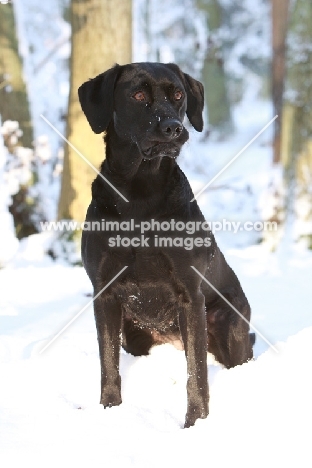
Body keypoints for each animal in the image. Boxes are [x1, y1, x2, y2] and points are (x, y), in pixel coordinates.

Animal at [78, 62, 254, 428]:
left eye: (178, 95)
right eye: (137, 95)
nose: (174, 128)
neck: (140, 193)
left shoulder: (191, 295)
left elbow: (196, 374)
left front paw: (195, 423)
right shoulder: (105, 291)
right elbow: (108, 364)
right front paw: (109, 410)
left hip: (229, 323)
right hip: (132, 333)